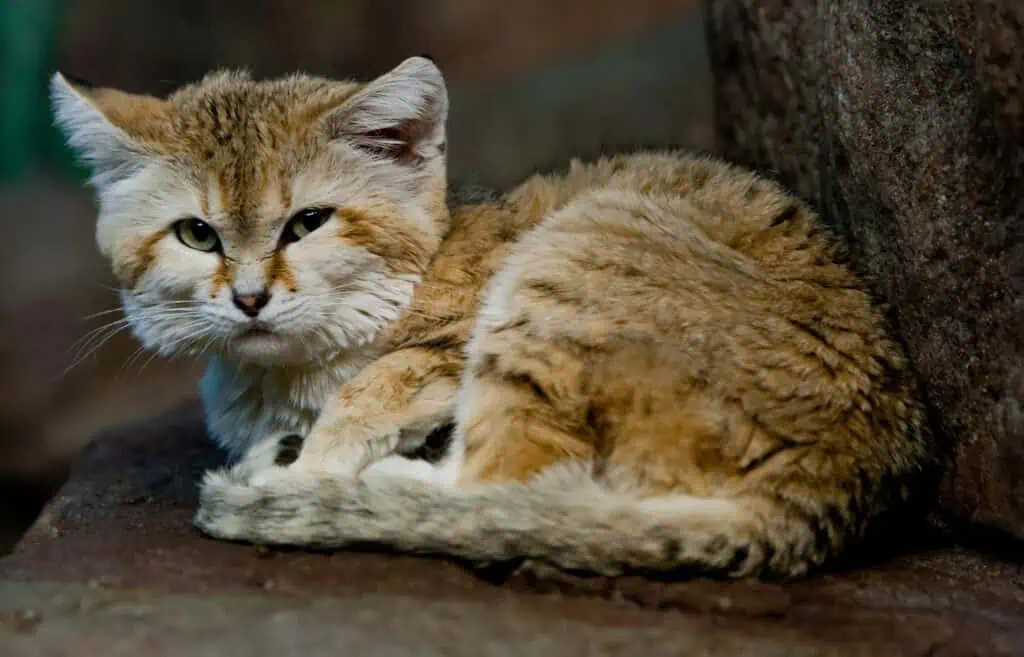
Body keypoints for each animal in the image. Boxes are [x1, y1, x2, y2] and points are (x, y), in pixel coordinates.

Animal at [54, 57, 937, 577]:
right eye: (197, 234)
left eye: (306, 222)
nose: (247, 298)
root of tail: (840, 478)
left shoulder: (448, 343)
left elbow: (371, 390)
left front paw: (305, 463)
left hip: (566, 267)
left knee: (500, 485)